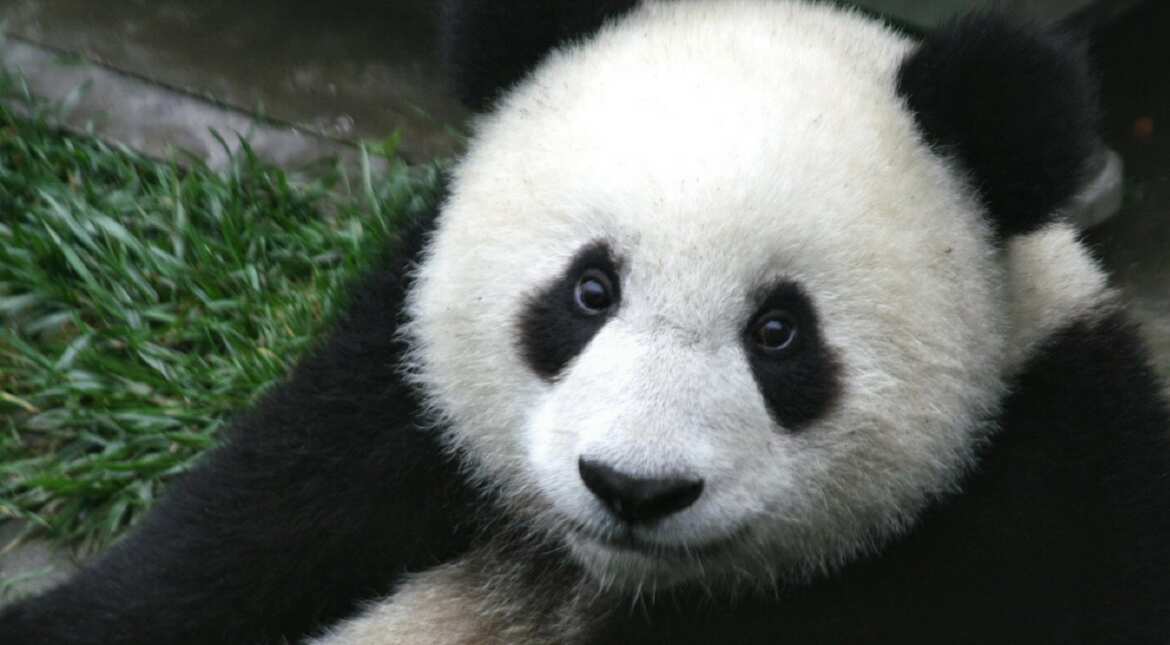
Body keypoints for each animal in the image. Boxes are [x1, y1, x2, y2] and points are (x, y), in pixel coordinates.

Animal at [2, 1, 1169, 644]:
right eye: (589, 292)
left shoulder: (1043, 505)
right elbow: (235, 539)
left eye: (779, 334)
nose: (634, 488)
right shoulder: (390, 398)